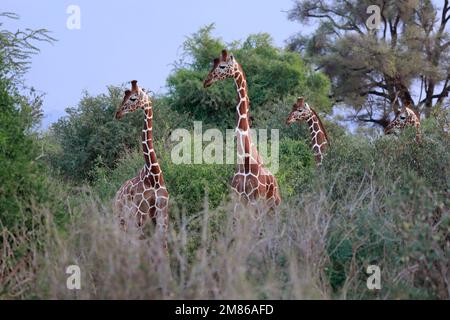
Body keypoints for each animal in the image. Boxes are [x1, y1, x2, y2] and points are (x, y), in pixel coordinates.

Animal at [113, 80, 170, 245]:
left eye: (133, 98)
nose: (117, 114)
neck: (154, 176)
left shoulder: (162, 217)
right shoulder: (141, 217)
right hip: (123, 221)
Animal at [205, 49, 282, 215]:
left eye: (222, 66)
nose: (206, 81)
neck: (246, 162)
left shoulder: (254, 202)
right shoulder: (237, 202)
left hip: (273, 207)